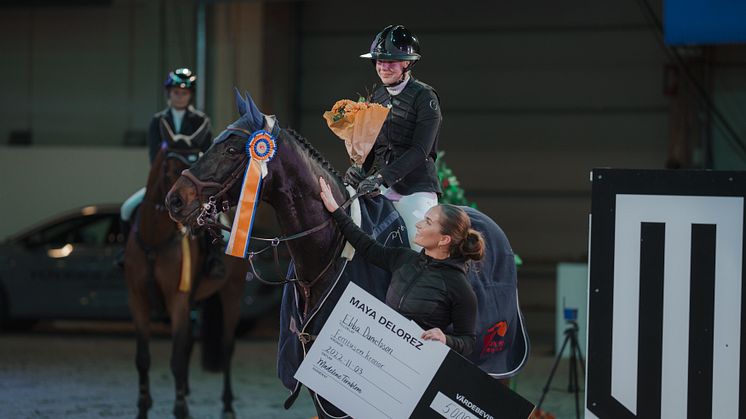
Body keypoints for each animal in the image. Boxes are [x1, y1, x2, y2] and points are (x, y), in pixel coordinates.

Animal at [124, 142, 247, 419]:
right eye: (169, 167)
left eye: (194, 161)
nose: (176, 202)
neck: (155, 241)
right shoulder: (137, 300)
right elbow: (142, 358)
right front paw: (143, 406)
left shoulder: (177, 300)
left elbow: (177, 358)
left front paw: (180, 408)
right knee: (191, 342)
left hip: (232, 292)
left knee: (227, 346)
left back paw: (227, 404)